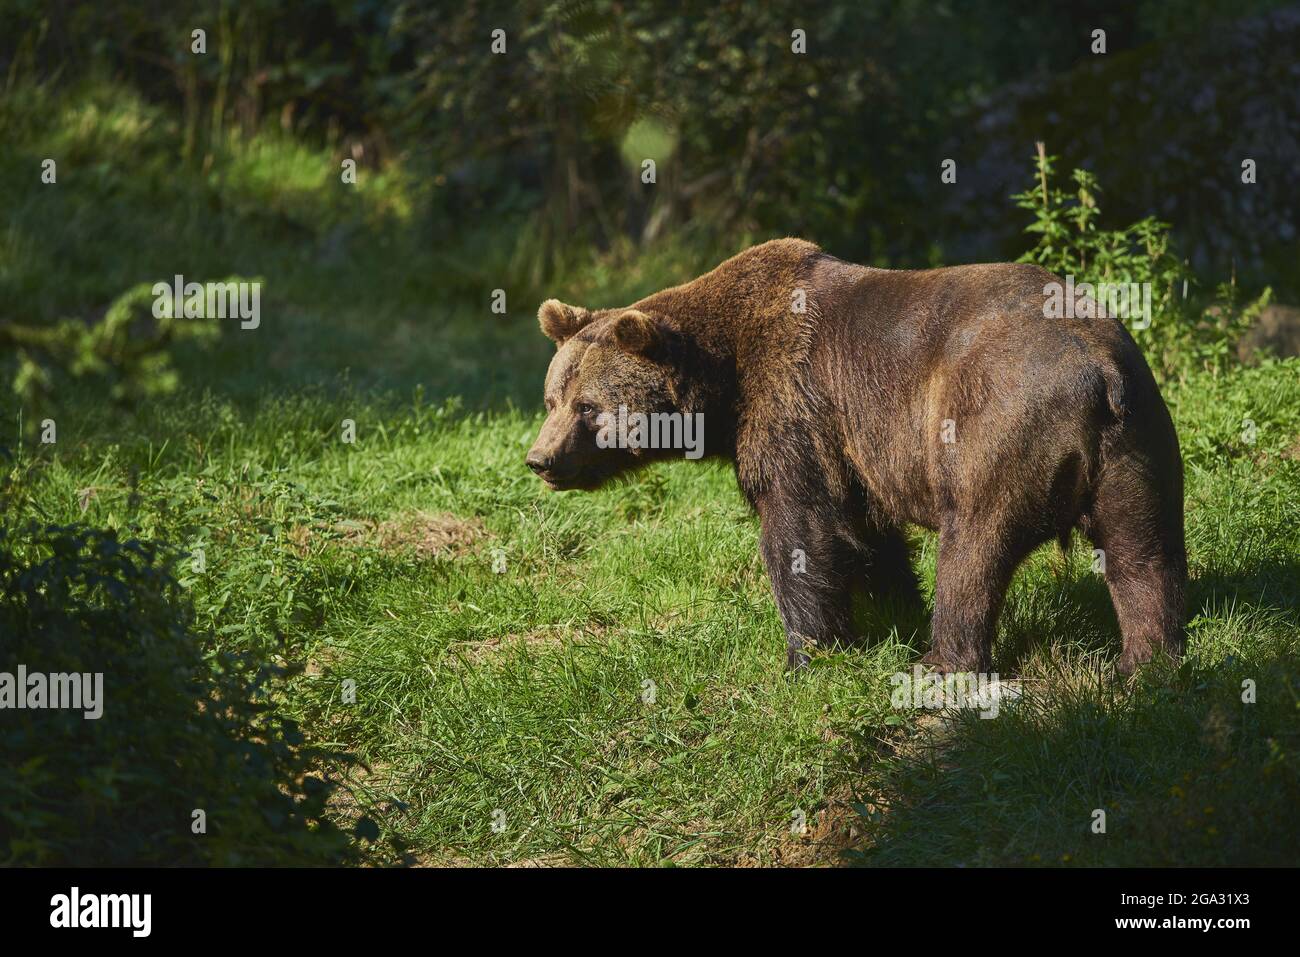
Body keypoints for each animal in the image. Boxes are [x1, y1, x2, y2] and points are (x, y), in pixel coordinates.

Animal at [522, 237, 1185, 670]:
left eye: (589, 407)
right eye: (552, 397)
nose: (540, 460)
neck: (723, 380)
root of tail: (1096, 368)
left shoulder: (794, 407)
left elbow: (800, 531)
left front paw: (808, 654)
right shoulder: (853, 451)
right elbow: (867, 535)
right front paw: (892, 613)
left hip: (996, 420)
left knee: (973, 544)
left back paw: (942, 660)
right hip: (1137, 442)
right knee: (1142, 550)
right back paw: (1146, 660)